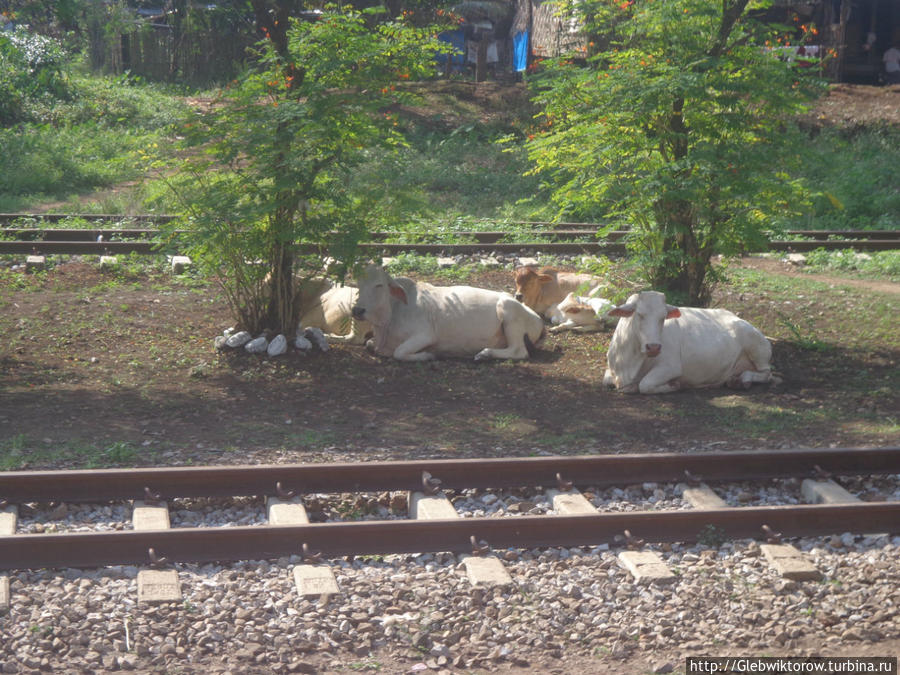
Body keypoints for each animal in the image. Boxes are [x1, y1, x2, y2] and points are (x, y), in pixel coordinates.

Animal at [354, 264, 544, 362]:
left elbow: (399, 352)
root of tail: (538, 318)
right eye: (357, 284)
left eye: (379, 285)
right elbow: (369, 343)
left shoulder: (426, 334)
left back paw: (484, 354)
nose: (357, 310)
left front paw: (429, 355)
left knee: (519, 351)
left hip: (508, 310)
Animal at [604, 292, 780, 396]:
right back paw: (734, 380)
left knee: (767, 374)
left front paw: (674, 385)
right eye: (639, 315)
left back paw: (744, 380)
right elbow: (607, 381)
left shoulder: (671, 367)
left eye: (663, 317)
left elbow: (644, 385)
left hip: (756, 346)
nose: (653, 347)